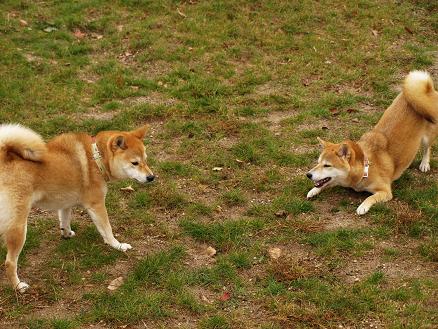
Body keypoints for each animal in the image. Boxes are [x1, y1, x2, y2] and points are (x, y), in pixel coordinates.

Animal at [0, 124, 154, 290]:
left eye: (145, 160)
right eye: (135, 163)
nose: (152, 177)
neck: (96, 158)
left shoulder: (65, 202)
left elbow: (65, 220)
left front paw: (66, 234)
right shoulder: (96, 204)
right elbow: (107, 230)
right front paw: (117, 245)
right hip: (18, 226)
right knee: (9, 262)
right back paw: (18, 286)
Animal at [306, 71, 438, 215]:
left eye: (327, 165)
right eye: (318, 163)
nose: (308, 175)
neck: (365, 168)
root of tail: (426, 90)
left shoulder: (385, 191)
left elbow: (370, 197)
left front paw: (362, 206)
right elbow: (325, 183)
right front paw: (314, 190)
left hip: (427, 137)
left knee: (427, 149)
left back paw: (424, 164)